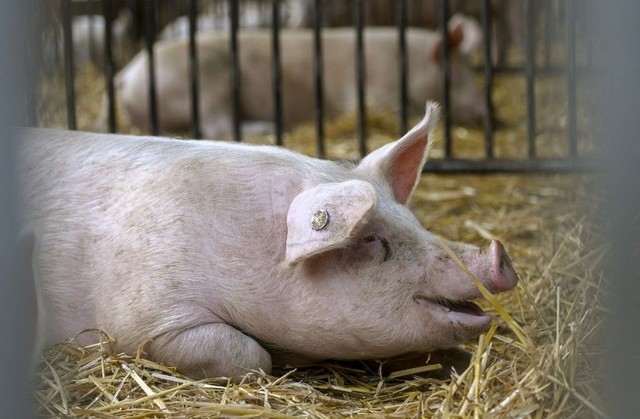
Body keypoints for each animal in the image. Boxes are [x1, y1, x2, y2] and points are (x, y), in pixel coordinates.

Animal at [21, 103, 520, 382]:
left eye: (414, 221)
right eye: (372, 238)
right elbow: (250, 356)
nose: (498, 254)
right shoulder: (148, 317)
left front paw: (457, 359)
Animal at [104, 15, 484, 138]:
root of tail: (126, 73)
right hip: (207, 80)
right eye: (456, 76)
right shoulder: (372, 90)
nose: (485, 111)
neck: (409, 63)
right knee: (218, 125)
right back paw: (271, 127)